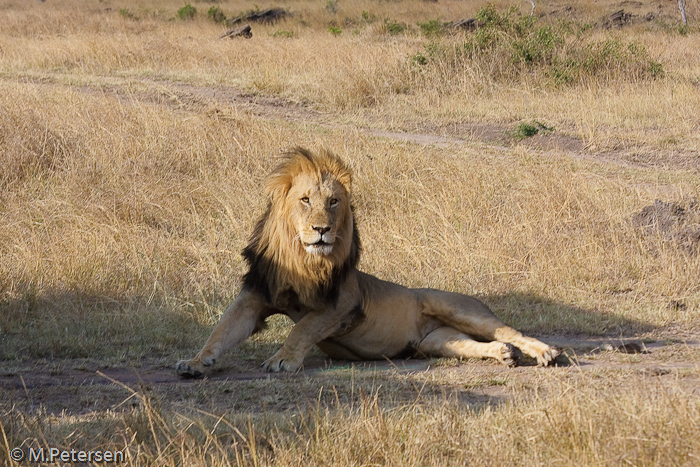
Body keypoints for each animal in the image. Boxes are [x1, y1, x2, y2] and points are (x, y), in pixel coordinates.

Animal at [178, 148, 560, 378]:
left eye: (333, 201)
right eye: (305, 200)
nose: (322, 230)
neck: (302, 258)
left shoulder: (344, 303)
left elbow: (303, 327)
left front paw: (282, 359)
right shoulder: (255, 295)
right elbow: (221, 330)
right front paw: (195, 362)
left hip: (460, 309)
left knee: (509, 330)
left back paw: (544, 352)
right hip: (437, 342)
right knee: (473, 345)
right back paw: (505, 355)